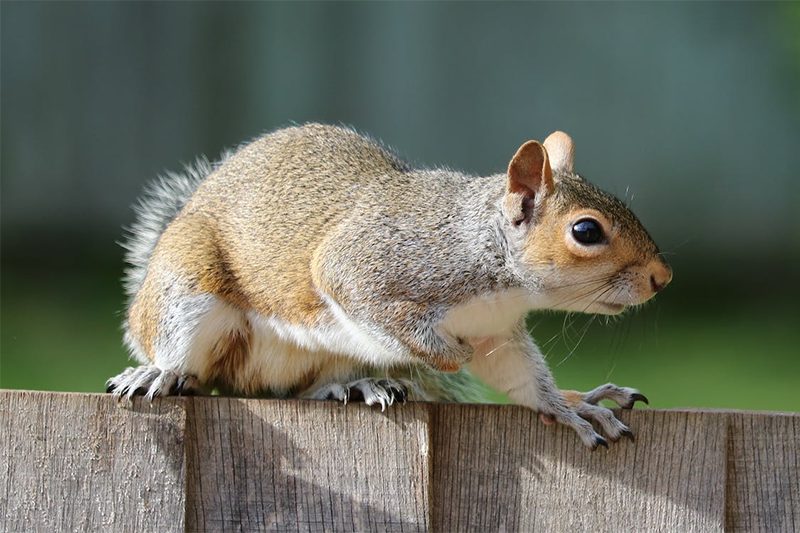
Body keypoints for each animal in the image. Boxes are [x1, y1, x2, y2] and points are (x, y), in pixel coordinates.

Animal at [106, 122, 668, 446]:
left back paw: (356, 385)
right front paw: (446, 355)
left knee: (295, 391)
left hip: (321, 360)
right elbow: (369, 303)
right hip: (187, 288)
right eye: (586, 231)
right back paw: (158, 373)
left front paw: (570, 407)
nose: (661, 278)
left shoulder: (496, 332)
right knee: (191, 362)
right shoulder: (366, 266)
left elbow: (520, 377)